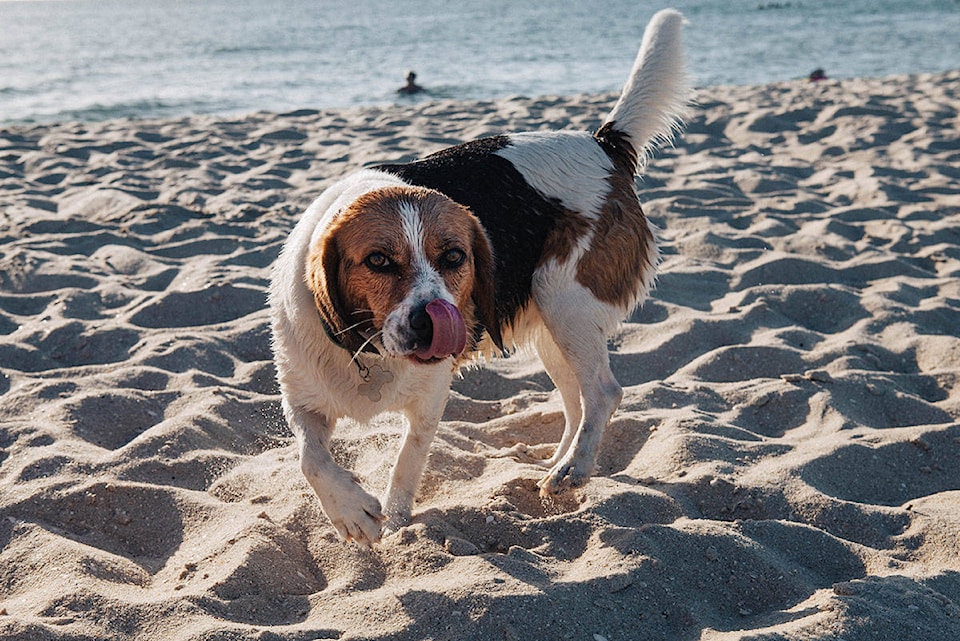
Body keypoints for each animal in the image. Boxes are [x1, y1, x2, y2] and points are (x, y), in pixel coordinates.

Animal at [270, 7, 688, 544]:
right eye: (378, 261)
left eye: (454, 257)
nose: (431, 322)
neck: (370, 350)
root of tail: (601, 145)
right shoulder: (302, 398)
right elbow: (310, 458)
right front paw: (351, 511)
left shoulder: (428, 400)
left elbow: (406, 463)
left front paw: (396, 520)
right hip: (553, 328)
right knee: (576, 399)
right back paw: (557, 462)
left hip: (565, 304)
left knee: (602, 393)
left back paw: (574, 469)